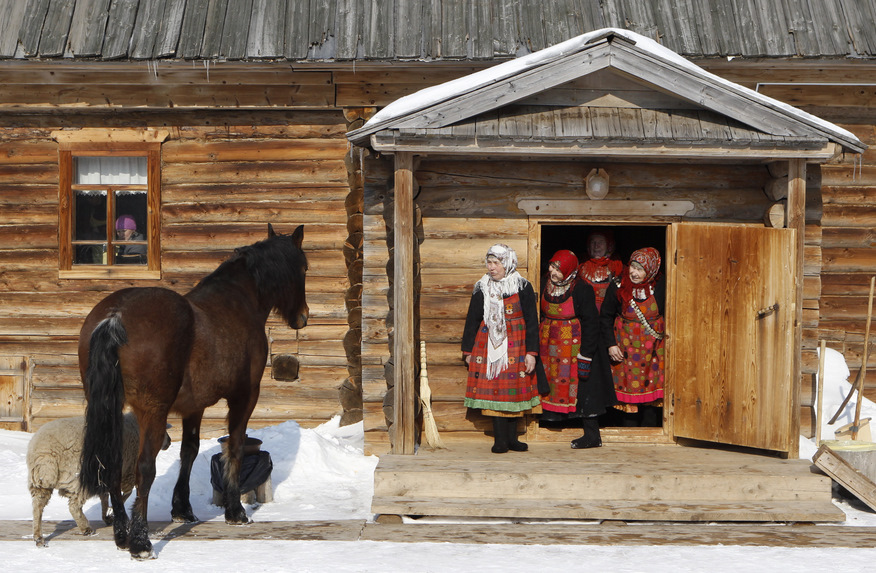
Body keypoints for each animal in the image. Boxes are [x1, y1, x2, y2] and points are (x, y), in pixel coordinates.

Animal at [26, 412, 169, 544]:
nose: (169, 441)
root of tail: (44, 451)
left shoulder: (107, 478)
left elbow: (105, 498)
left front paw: (107, 516)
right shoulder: (129, 471)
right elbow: (124, 495)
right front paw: (114, 512)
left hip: (39, 480)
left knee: (37, 505)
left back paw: (38, 536)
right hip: (79, 477)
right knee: (73, 506)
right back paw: (86, 528)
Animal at [77, 223, 308, 560]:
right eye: (304, 268)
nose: (303, 316)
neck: (238, 302)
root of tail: (115, 316)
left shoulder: (193, 406)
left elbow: (190, 450)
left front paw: (182, 508)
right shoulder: (245, 396)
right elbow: (235, 446)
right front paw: (235, 511)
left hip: (112, 409)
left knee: (113, 465)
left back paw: (121, 534)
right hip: (152, 411)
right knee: (144, 468)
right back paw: (141, 542)